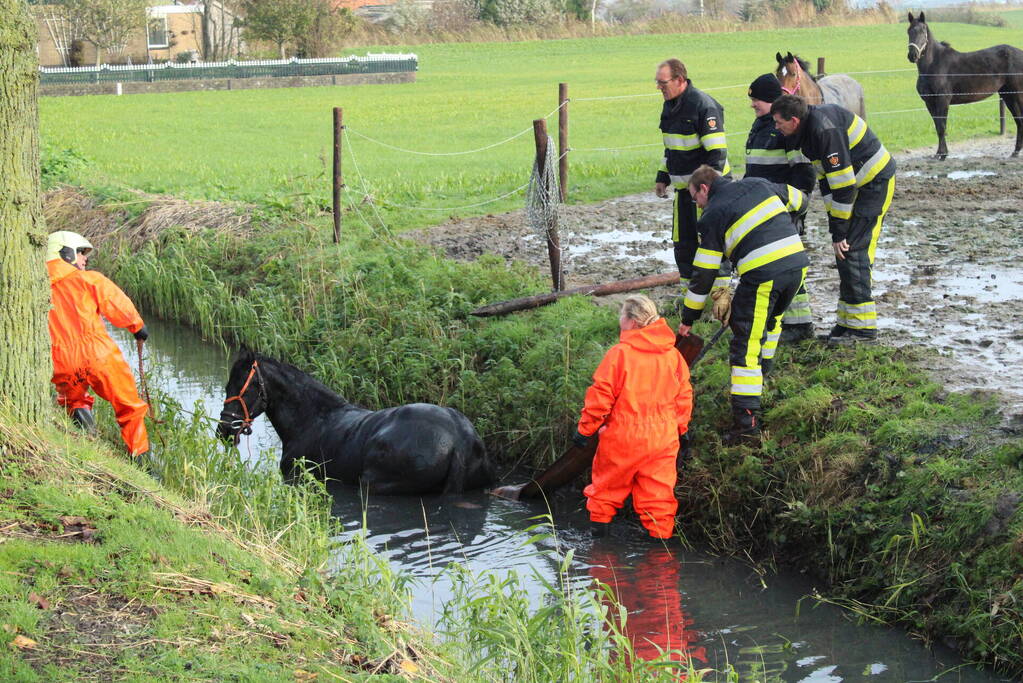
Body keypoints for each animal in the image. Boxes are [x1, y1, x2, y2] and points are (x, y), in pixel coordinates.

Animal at [907, 11, 1023, 160]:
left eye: (923, 31)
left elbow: (942, 127)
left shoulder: (943, 100)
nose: (912, 55)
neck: (933, 65)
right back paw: (1015, 151)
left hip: (1018, 94)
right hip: (1008, 96)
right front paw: (939, 153)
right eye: (909, 31)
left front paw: (943, 155)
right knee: (1019, 121)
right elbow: (937, 126)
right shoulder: (929, 102)